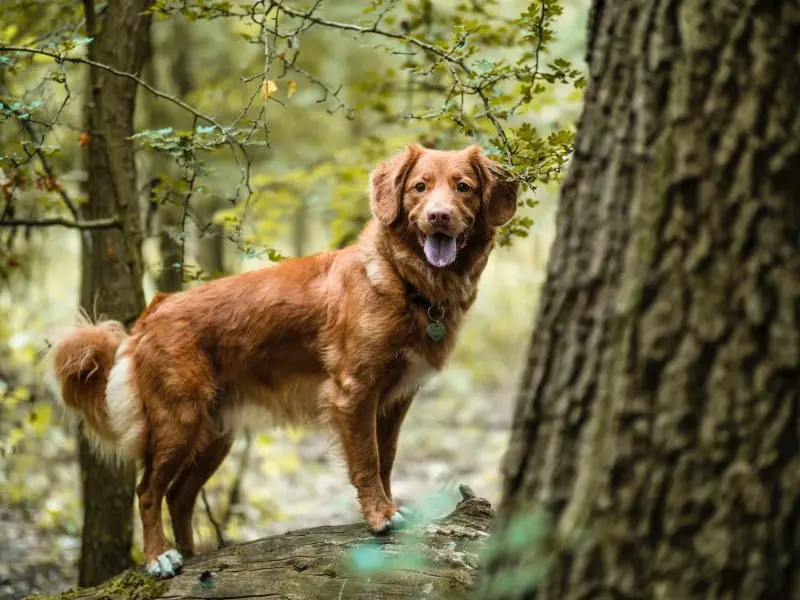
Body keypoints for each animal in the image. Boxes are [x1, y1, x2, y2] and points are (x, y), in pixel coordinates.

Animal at [50, 143, 520, 580]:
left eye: (463, 187)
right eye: (420, 187)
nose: (439, 217)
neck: (404, 280)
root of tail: (153, 311)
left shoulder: (394, 400)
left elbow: (385, 459)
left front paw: (386, 507)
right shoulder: (354, 391)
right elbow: (367, 461)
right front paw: (379, 516)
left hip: (215, 435)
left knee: (178, 496)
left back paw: (194, 555)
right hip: (178, 420)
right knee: (148, 491)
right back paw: (159, 557)